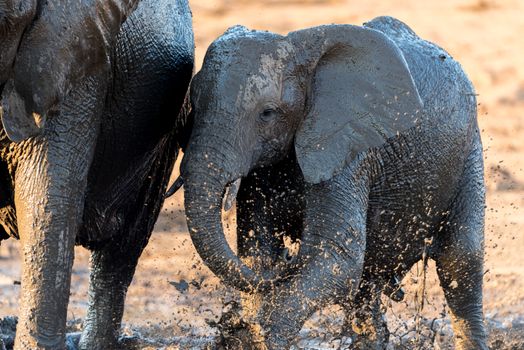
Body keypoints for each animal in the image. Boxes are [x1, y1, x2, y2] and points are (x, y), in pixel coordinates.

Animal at [179, 15, 488, 348]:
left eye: (267, 113)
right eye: (193, 105)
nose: (290, 259)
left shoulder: (349, 150)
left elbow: (337, 256)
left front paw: (262, 335)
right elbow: (258, 247)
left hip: (469, 152)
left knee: (461, 262)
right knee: (368, 285)